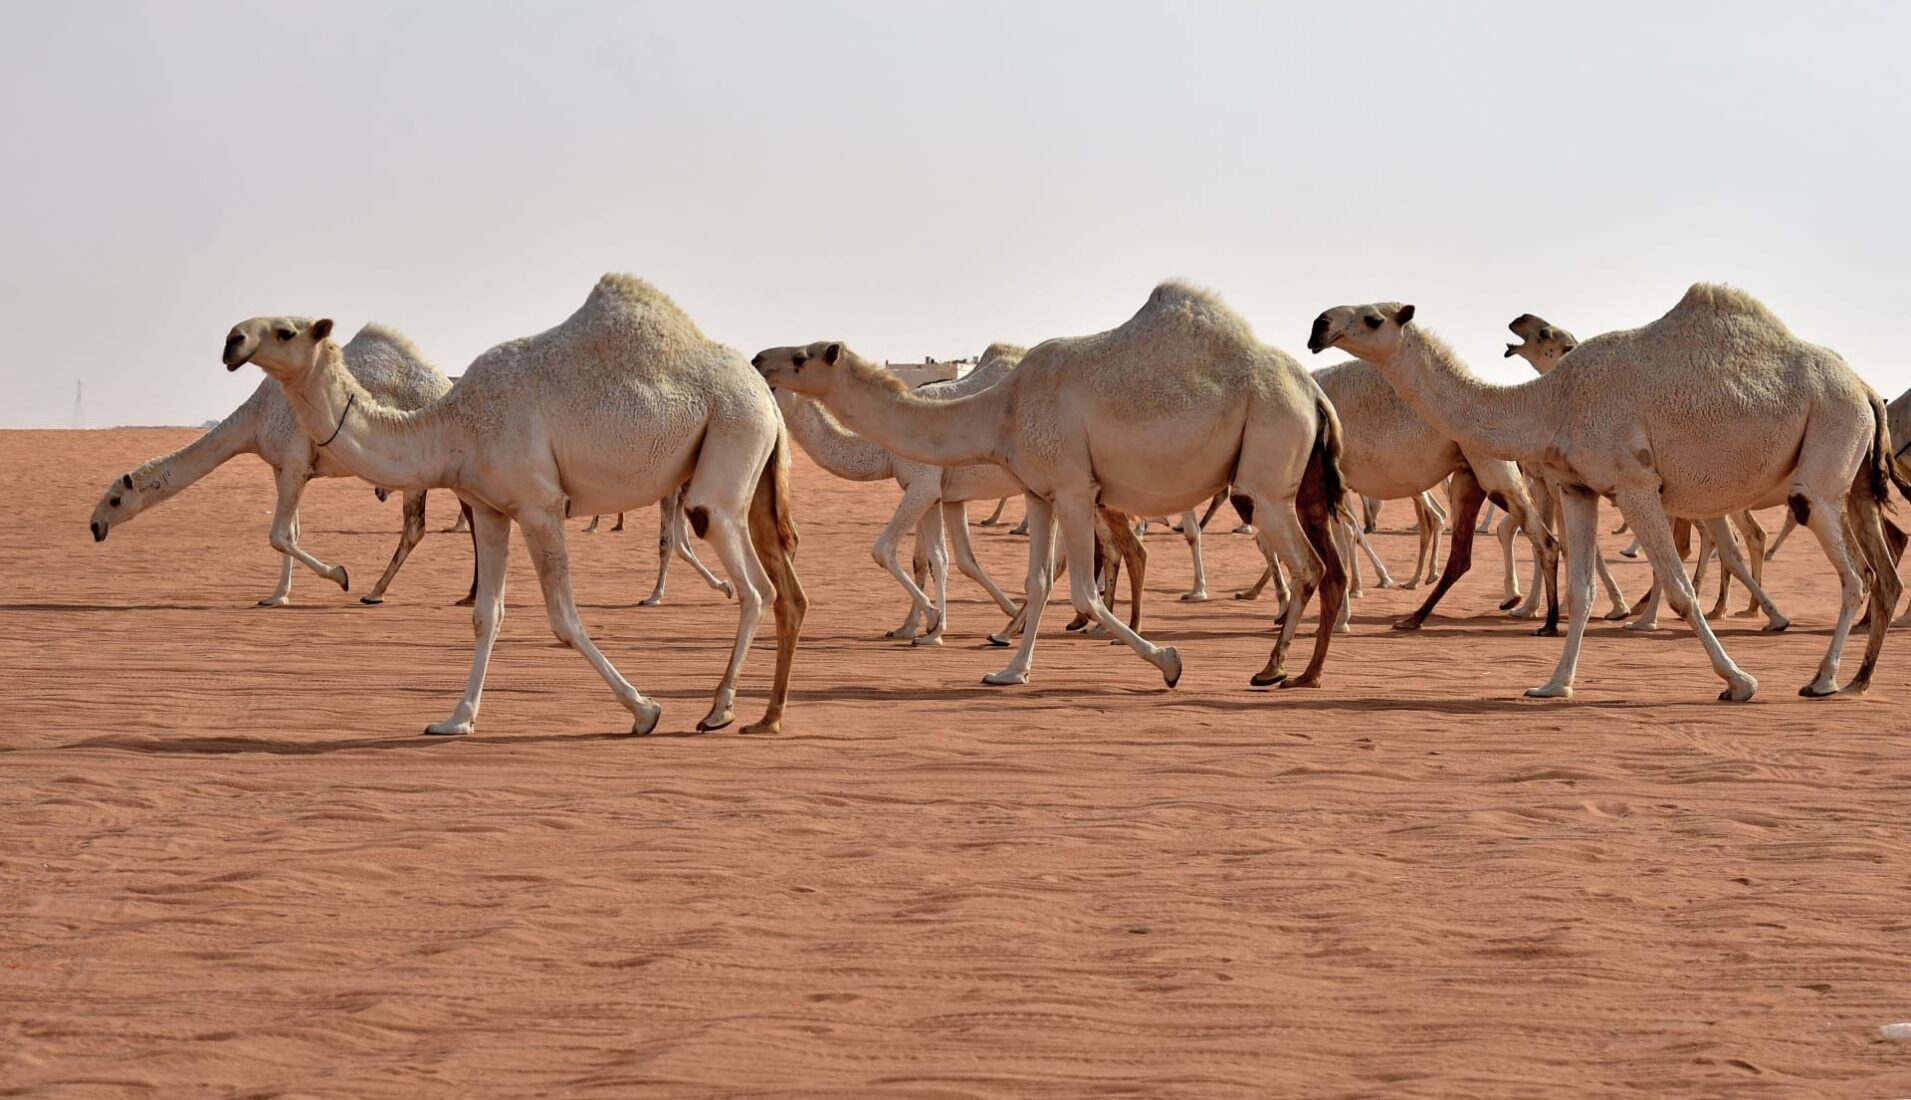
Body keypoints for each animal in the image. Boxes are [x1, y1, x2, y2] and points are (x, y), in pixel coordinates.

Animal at [90, 322, 473, 607]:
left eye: (115, 499)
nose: (95, 526)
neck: (256, 418)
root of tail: (446, 385)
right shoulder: (281, 466)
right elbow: (291, 532)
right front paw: (277, 596)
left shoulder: (294, 462)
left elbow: (278, 535)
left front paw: (340, 576)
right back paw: (466, 596)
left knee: (415, 528)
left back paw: (375, 592)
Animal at [225, 275, 806, 740]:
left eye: (285, 331)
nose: (232, 341)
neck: (454, 427)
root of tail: (766, 395)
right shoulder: (490, 508)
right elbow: (487, 615)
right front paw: (456, 719)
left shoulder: (540, 505)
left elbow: (563, 619)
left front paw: (644, 710)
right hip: (749, 469)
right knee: (780, 587)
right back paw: (757, 713)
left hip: (730, 436)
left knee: (752, 583)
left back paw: (718, 711)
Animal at [752, 278, 1352, 687]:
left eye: (802, 356)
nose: (759, 357)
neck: (1000, 409)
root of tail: (1312, 392)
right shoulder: (1037, 493)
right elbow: (1038, 580)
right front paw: (1009, 669)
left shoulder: (1071, 488)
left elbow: (1080, 586)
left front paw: (1168, 661)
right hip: (1299, 482)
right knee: (1328, 565)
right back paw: (1305, 671)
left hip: (1266, 467)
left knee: (1309, 565)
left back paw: (1276, 669)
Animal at [1307, 280, 1903, 695]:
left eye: (1373, 317)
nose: (1319, 324)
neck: (1553, 401)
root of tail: (1865, 387)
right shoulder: (1579, 487)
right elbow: (1582, 589)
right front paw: (1554, 685)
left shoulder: (1634, 483)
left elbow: (1681, 590)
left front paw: (1739, 682)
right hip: (1853, 481)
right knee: (1881, 572)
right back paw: (1858, 679)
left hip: (1826, 455)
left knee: (1856, 574)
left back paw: (1822, 679)